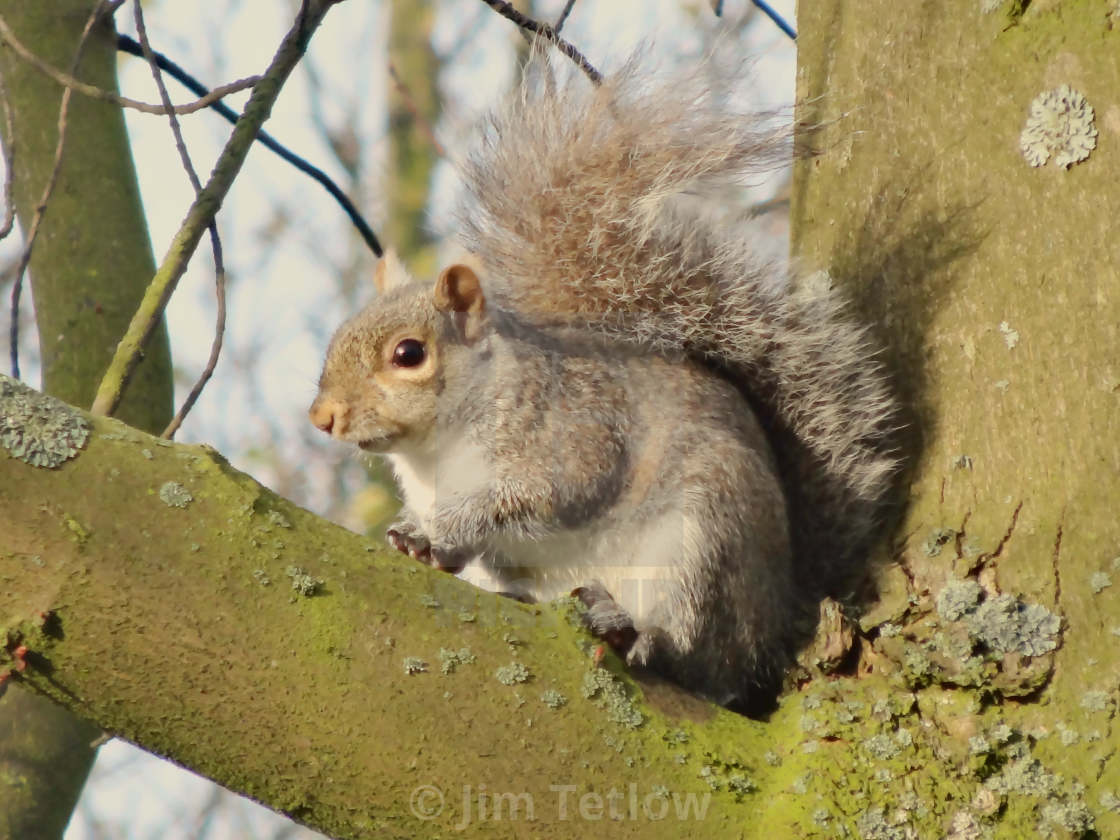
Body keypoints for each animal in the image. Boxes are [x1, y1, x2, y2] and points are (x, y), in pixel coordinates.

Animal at [309, 52, 900, 712]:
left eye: (408, 354)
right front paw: (420, 536)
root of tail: (776, 623)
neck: (437, 451)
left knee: (698, 657)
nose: (323, 417)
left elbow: (545, 494)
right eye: (337, 336)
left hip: (703, 541)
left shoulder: (577, 435)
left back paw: (636, 632)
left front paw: (449, 528)